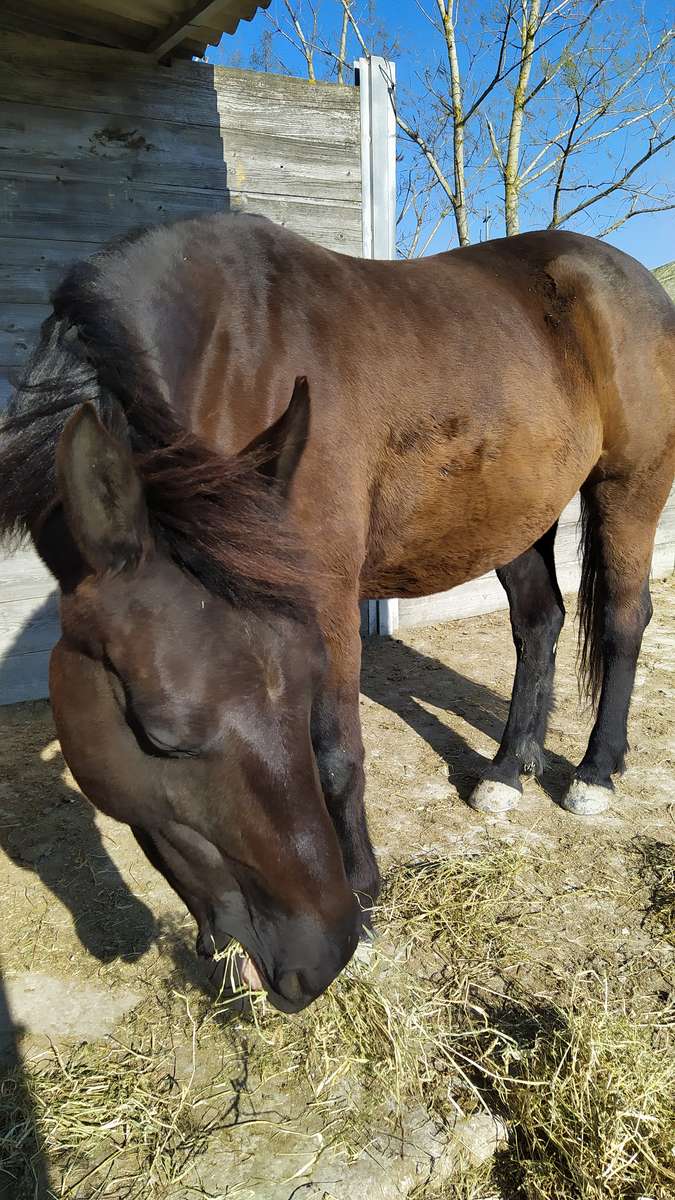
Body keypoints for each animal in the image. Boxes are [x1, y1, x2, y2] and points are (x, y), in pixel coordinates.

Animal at [0, 211, 667, 1008]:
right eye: (161, 736)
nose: (313, 957)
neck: (235, 357)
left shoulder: (324, 589)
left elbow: (337, 755)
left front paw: (367, 909)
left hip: (629, 487)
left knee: (624, 622)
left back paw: (595, 774)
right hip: (514, 512)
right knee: (539, 624)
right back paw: (509, 771)